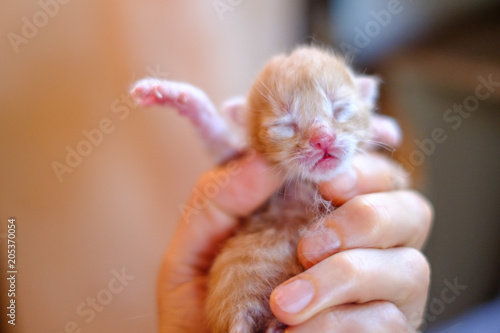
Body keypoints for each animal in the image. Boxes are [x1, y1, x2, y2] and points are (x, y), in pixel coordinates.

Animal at [131, 45, 380, 330]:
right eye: (284, 125)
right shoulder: (231, 158)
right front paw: (173, 95)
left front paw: (386, 129)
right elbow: (214, 133)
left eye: (340, 108)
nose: (322, 139)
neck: (304, 185)